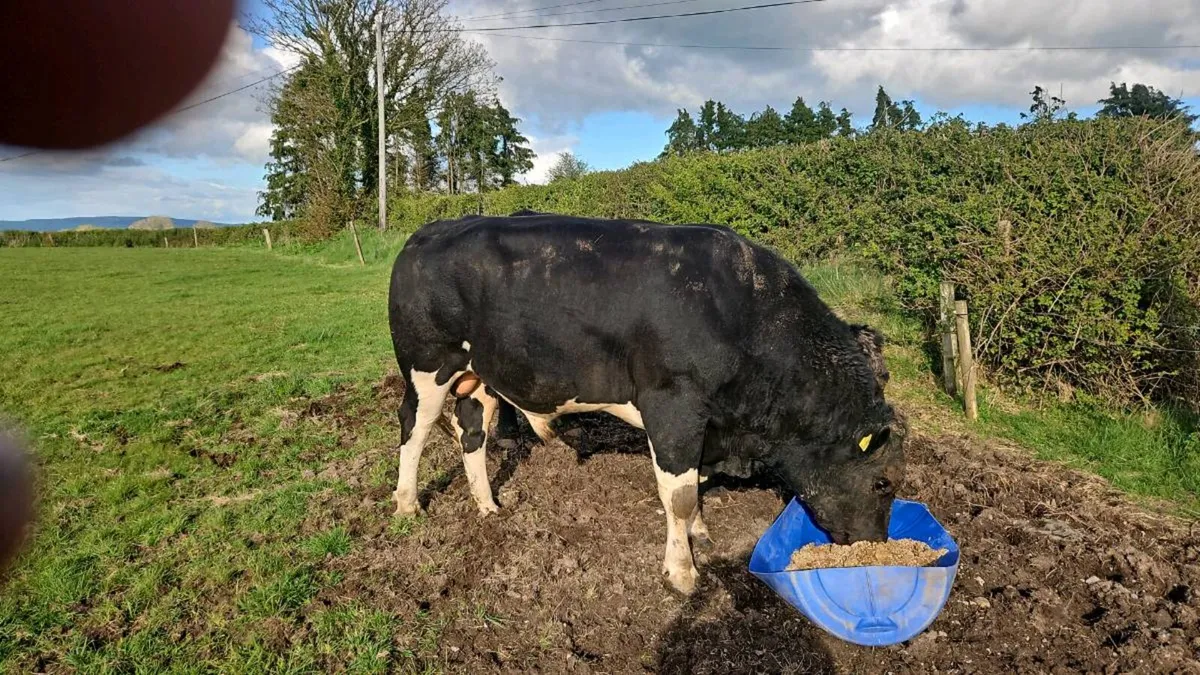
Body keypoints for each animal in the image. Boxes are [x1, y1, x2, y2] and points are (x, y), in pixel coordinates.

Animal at [387, 212, 906, 594]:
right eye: (883, 483)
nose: (874, 546)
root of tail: (429, 231)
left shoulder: (704, 425)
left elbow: (696, 486)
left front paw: (700, 533)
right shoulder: (673, 408)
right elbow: (679, 496)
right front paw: (683, 571)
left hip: (482, 377)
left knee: (471, 433)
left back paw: (488, 505)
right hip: (428, 365)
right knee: (414, 428)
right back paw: (408, 504)